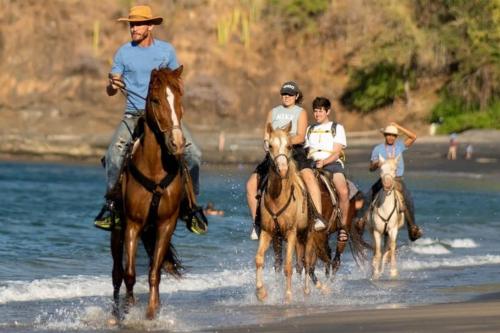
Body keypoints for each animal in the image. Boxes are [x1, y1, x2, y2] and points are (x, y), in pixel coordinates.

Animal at [110, 64, 187, 320]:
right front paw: (129, 308)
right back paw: (114, 312)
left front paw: (152, 311)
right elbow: (130, 274)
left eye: (180, 98)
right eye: (155, 100)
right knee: (116, 272)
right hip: (117, 229)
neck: (154, 170)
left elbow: (155, 271)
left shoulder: (166, 224)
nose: (177, 143)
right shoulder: (133, 224)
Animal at [256, 121, 310, 300]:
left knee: (307, 262)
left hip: (306, 235)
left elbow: (288, 266)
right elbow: (259, 259)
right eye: (270, 146)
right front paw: (261, 291)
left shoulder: (291, 232)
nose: (283, 169)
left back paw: (306, 290)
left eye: (289, 146)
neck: (277, 198)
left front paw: (287, 295)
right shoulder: (267, 231)